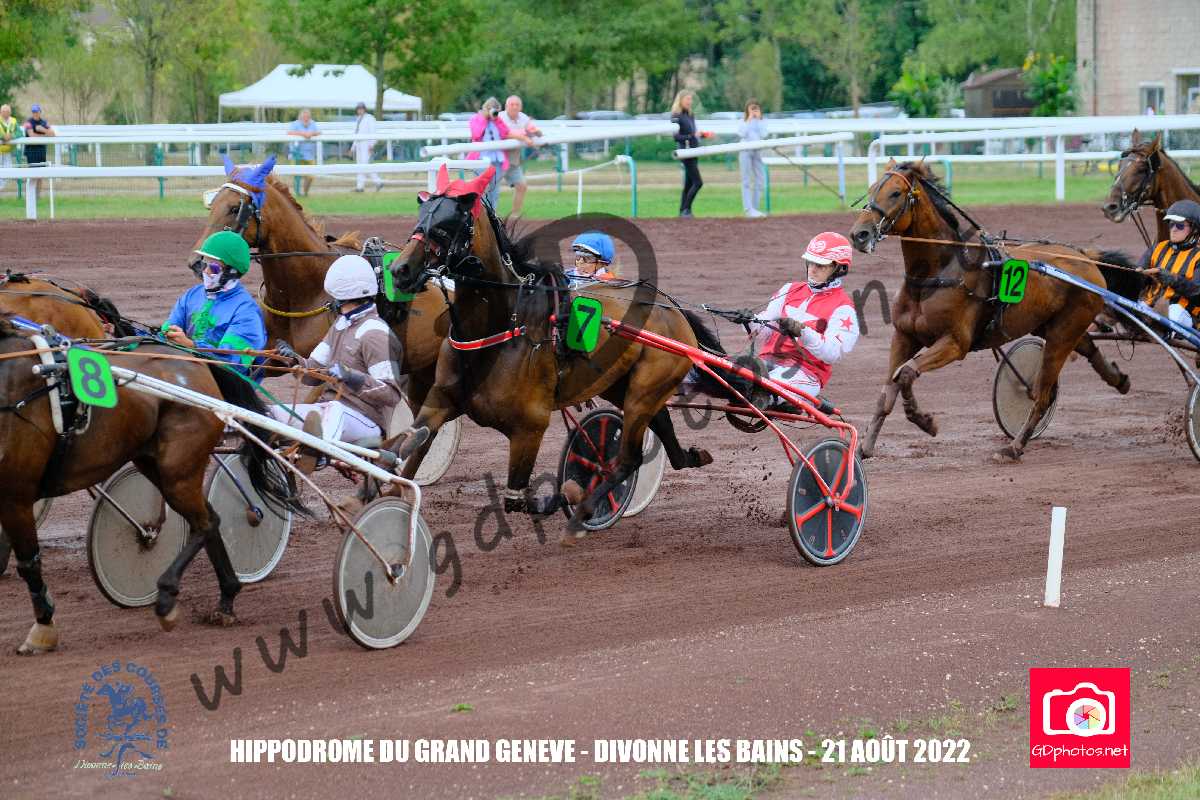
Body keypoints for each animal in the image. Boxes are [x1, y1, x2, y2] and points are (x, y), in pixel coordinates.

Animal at [0, 315, 302, 654]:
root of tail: (197, 361)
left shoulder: (15, 495)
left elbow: (29, 564)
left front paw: (43, 629)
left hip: (177, 469)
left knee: (206, 522)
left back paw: (168, 598)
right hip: (153, 461)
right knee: (208, 517)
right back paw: (226, 599)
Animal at [386, 165, 715, 529]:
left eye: (449, 223)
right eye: (420, 215)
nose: (400, 270)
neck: (495, 331)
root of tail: (670, 307)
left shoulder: (530, 426)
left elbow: (517, 499)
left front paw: (568, 494)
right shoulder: (439, 402)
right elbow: (408, 451)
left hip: (646, 387)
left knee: (628, 460)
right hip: (622, 386)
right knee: (660, 425)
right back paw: (692, 456)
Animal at [848, 160, 1142, 461]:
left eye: (895, 193)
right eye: (871, 189)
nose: (859, 234)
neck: (937, 273)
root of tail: (1085, 258)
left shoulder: (955, 343)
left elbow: (906, 373)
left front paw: (925, 421)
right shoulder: (904, 337)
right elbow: (887, 392)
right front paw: (865, 447)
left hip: (1062, 333)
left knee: (1042, 395)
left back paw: (1015, 447)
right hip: (1053, 326)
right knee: (1087, 349)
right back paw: (1119, 379)